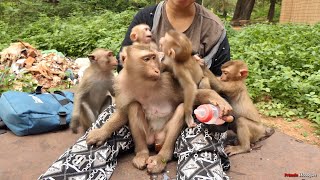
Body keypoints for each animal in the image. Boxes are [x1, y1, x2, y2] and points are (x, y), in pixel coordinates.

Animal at [86, 43, 232, 173]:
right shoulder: (120, 85)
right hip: (148, 136)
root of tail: (155, 140)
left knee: (180, 108)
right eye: (146, 59)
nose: (156, 69)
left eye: (153, 57)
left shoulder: (166, 81)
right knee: (134, 106)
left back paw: (161, 158)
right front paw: (101, 132)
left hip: (163, 136)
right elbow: (123, 112)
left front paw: (215, 98)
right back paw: (142, 154)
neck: (143, 82)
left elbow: (188, 96)